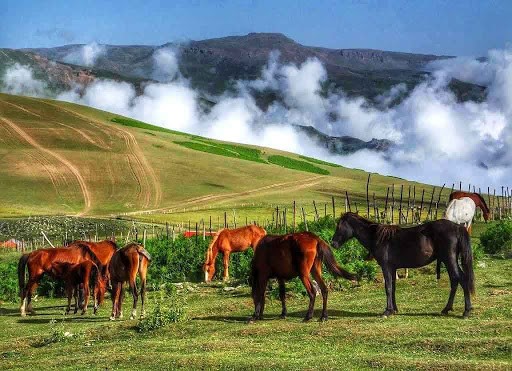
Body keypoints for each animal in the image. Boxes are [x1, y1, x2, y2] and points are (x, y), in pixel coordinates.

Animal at [330, 214, 474, 318]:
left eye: (339, 226)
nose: (333, 243)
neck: (379, 237)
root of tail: (457, 227)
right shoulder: (393, 268)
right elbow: (393, 288)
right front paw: (394, 309)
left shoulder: (386, 267)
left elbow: (388, 288)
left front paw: (387, 311)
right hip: (448, 260)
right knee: (456, 280)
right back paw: (447, 309)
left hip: (449, 259)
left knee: (460, 279)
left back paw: (466, 311)